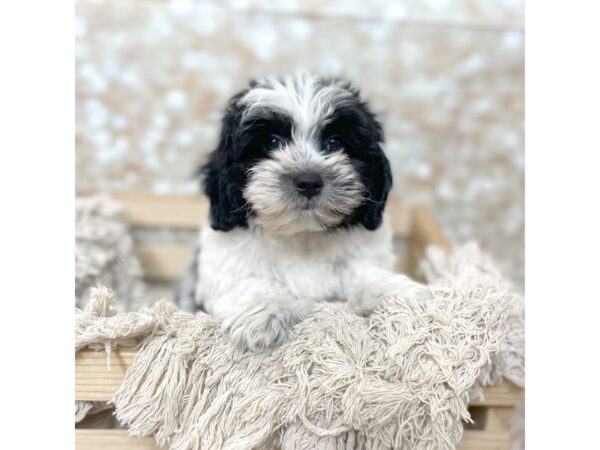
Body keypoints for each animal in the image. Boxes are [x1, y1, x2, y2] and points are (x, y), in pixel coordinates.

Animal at [183, 73, 432, 352]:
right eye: (272, 143)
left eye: (334, 143)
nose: (309, 181)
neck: (303, 234)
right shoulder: (227, 268)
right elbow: (251, 283)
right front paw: (264, 311)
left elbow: (361, 272)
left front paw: (395, 292)